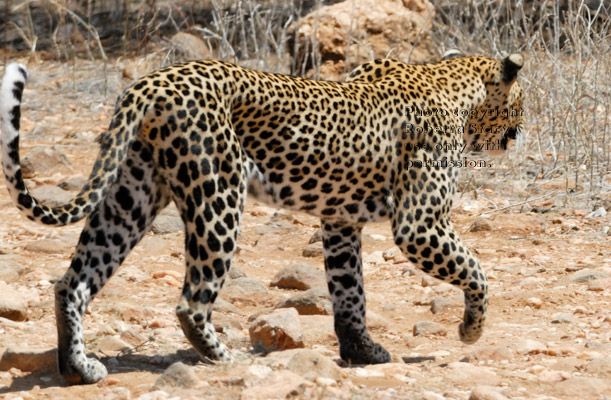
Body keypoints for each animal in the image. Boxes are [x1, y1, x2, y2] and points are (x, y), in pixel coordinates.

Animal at [1, 50, 524, 384]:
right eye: (520, 101)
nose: (521, 131)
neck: (450, 82)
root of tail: (149, 83)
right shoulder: (420, 223)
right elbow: (476, 271)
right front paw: (470, 330)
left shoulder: (339, 222)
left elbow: (349, 292)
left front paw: (363, 352)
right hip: (218, 197)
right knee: (190, 302)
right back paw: (224, 358)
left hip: (132, 193)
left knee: (73, 282)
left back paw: (79, 368)